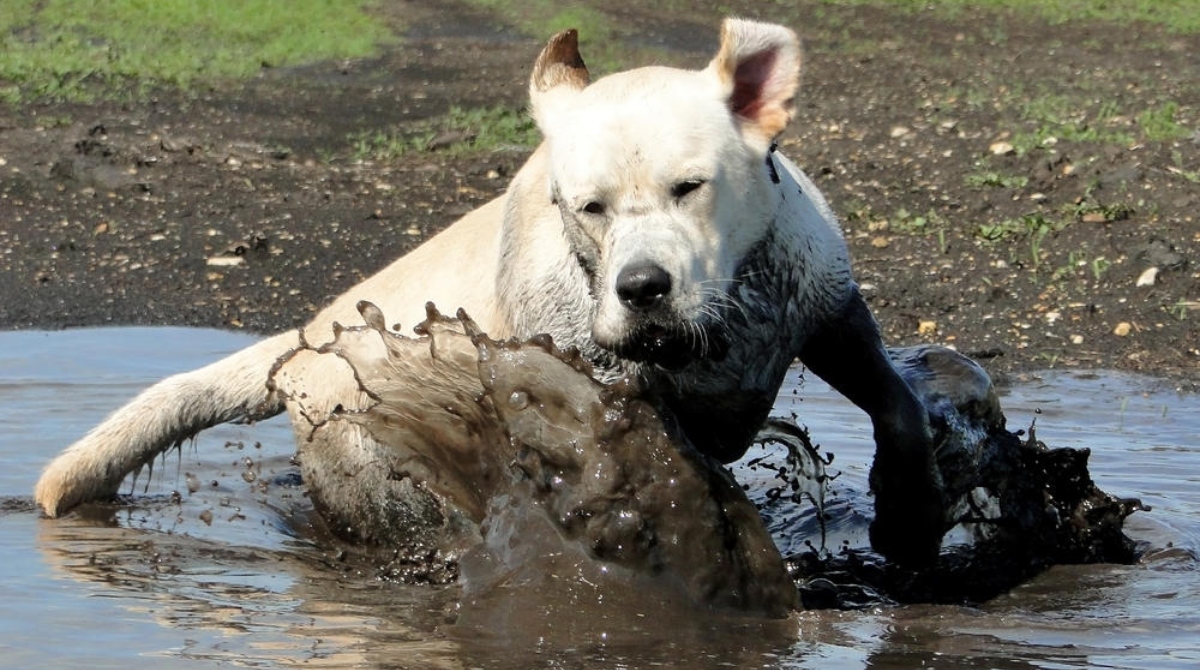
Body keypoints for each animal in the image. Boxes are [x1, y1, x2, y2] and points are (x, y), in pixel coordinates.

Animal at [32, 17, 945, 566]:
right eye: (589, 207)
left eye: (691, 187)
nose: (642, 286)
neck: (712, 337)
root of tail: (307, 336)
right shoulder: (608, 396)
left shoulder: (826, 309)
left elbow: (898, 403)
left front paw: (912, 510)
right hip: (359, 461)